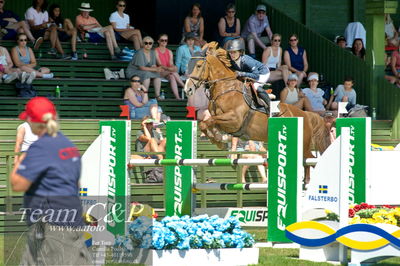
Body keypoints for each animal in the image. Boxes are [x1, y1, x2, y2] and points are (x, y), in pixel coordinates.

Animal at [185, 41, 332, 158]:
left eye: (198, 65)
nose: (188, 90)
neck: (226, 88)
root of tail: (305, 114)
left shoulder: (234, 119)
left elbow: (208, 122)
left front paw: (220, 141)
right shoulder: (221, 120)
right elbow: (205, 123)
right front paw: (219, 140)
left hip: (303, 146)